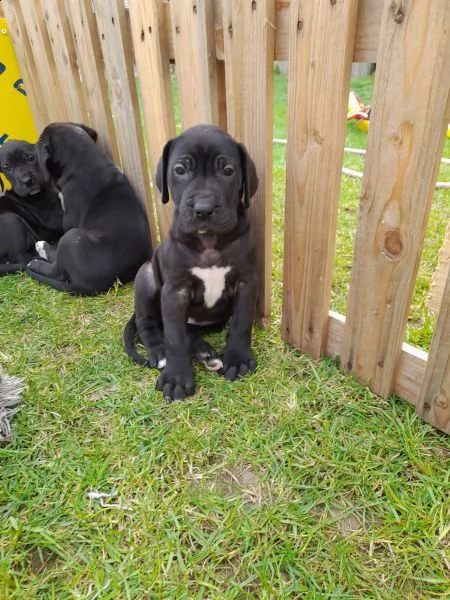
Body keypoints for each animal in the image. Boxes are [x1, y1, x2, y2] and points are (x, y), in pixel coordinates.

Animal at [0, 141, 63, 274]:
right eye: (7, 167)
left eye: (30, 158)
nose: (27, 180)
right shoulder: (54, 217)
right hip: (12, 220)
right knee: (23, 260)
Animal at [26, 122, 153, 296]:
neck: (85, 161)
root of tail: (89, 286)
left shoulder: (69, 220)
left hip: (70, 238)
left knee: (57, 270)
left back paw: (37, 257)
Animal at [125, 123, 260, 400]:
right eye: (179, 170)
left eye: (228, 171)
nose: (203, 208)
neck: (208, 241)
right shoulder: (175, 291)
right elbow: (175, 337)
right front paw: (177, 377)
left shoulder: (247, 282)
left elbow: (241, 322)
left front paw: (238, 359)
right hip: (146, 276)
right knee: (149, 323)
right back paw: (160, 351)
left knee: (188, 331)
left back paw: (204, 352)